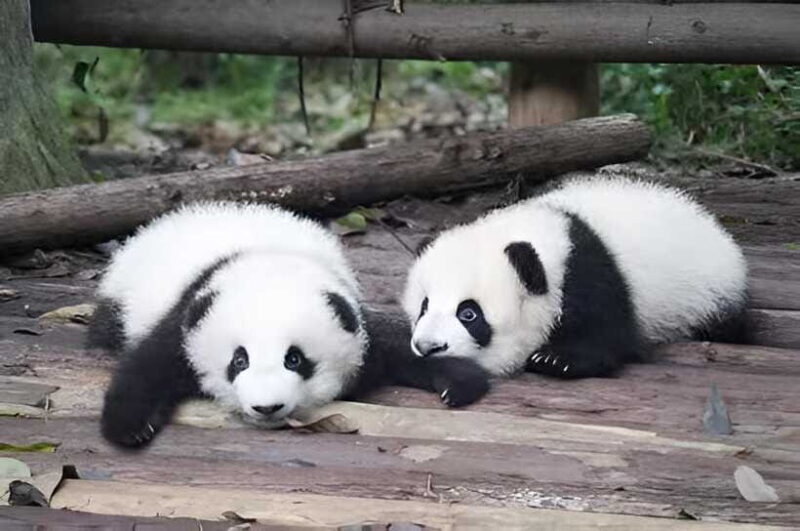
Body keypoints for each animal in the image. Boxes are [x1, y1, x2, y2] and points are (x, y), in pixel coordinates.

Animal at [89, 202, 488, 448]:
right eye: (239, 361)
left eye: (294, 359)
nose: (267, 408)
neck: (270, 261)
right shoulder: (190, 315)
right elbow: (149, 364)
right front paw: (131, 427)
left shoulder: (353, 319)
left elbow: (398, 345)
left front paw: (458, 382)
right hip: (122, 296)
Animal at [403, 177, 748, 380]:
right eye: (423, 306)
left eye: (469, 314)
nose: (428, 347)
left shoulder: (589, 273)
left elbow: (608, 334)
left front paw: (555, 360)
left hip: (708, 295)